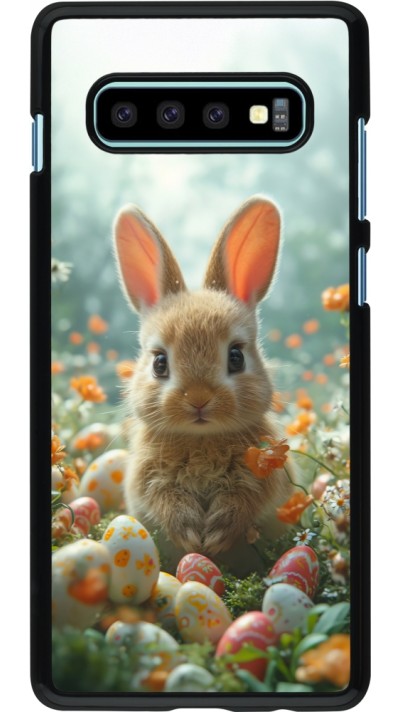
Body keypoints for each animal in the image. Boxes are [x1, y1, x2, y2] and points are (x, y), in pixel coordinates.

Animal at [113, 195, 293, 562]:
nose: (198, 399)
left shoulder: (263, 476)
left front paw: (217, 535)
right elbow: (164, 500)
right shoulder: (148, 479)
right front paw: (191, 535)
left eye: (236, 357)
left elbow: (244, 501)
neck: (201, 439)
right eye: (159, 363)